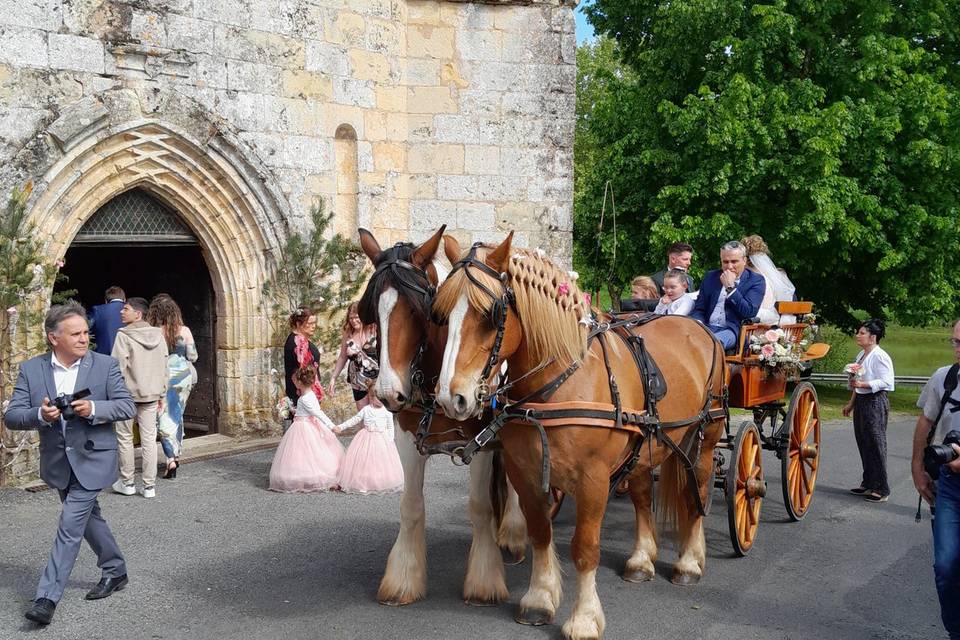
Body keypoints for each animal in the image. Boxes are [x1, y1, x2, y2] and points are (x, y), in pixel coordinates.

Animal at [356, 228, 528, 608]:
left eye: (419, 310)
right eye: (372, 309)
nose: (388, 392)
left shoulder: (481, 441)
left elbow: (479, 507)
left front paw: (484, 580)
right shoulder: (407, 438)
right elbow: (411, 505)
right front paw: (403, 579)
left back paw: (513, 533)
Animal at [434, 236, 728, 640]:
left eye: (490, 315)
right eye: (441, 313)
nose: (452, 398)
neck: (560, 381)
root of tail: (699, 328)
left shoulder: (593, 479)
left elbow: (585, 548)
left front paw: (585, 618)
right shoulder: (524, 473)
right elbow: (540, 533)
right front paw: (539, 599)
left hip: (704, 439)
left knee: (694, 494)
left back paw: (689, 562)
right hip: (647, 446)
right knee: (642, 496)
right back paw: (641, 559)